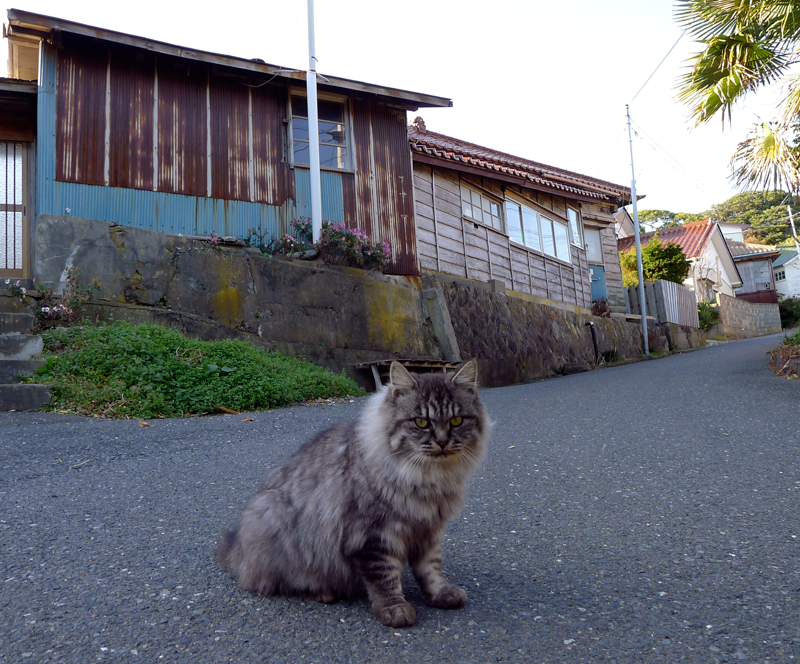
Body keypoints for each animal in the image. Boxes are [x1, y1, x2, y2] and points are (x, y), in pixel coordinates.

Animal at [220, 360, 494, 624]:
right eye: (421, 422)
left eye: (456, 421)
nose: (442, 442)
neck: (427, 477)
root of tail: (237, 549)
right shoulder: (374, 535)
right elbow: (385, 578)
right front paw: (395, 609)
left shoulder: (427, 530)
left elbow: (431, 569)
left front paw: (440, 594)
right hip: (277, 523)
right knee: (282, 582)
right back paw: (323, 592)